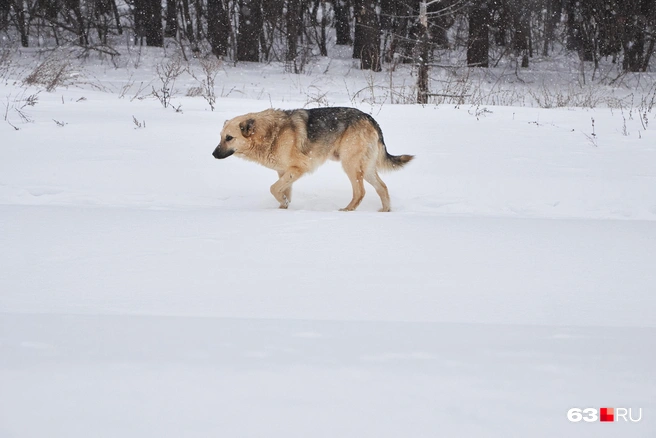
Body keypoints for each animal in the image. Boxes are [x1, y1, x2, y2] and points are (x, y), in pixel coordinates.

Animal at [213, 105, 412, 210]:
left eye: (229, 138)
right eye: (220, 137)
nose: (213, 154)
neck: (270, 133)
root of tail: (370, 118)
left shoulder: (299, 168)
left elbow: (273, 188)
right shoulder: (284, 172)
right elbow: (282, 191)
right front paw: (283, 208)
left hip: (350, 165)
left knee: (360, 192)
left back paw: (346, 211)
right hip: (366, 169)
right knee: (383, 188)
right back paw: (384, 212)